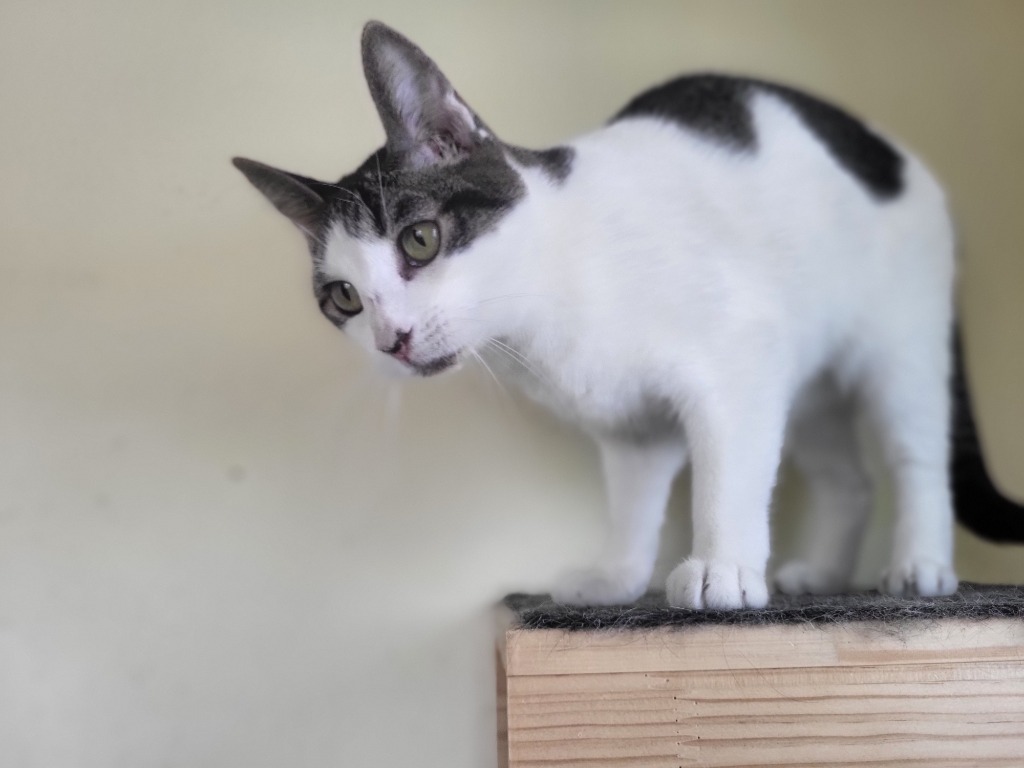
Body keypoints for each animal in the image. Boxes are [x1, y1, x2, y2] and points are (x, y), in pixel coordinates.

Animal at [234, 20, 1024, 610]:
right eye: (343, 298)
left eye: (420, 240)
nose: (391, 340)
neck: (545, 319)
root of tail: (889, 149)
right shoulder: (632, 428)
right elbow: (634, 502)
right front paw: (617, 576)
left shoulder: (740, 364)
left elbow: (727, 476)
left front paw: (722, 567)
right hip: (806, 383)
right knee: (848, 480)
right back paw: (823, 572)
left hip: (900, 346)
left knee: (917, 455)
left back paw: (920, 566)